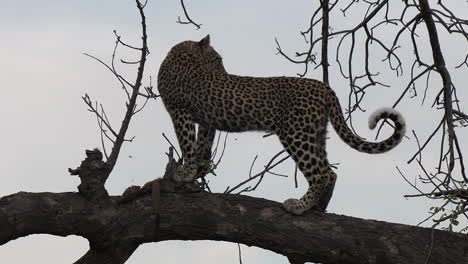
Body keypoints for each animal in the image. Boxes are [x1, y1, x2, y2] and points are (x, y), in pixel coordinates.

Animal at [158, 35, 406, 216]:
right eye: (218, 60)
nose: (225, 72)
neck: (182, 54)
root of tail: (324, 87)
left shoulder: (180, 111)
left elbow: (187, 142)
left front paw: (185, 172)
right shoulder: (205, 120)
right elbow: (201, 146)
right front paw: (197, 171)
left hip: (295, 132)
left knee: (321, 173)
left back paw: (300, 205)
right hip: (314, 131)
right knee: (330, 172)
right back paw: (318, 207)